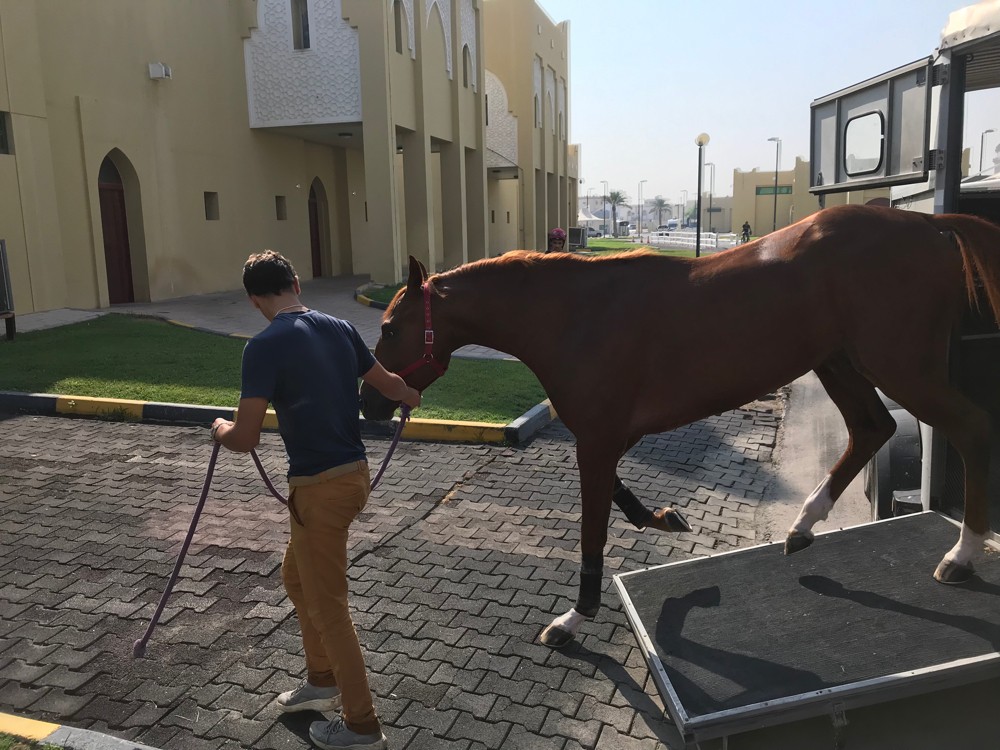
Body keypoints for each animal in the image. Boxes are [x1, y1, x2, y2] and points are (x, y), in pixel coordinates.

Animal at [359, 204, 1000, 649]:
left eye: (390, 328)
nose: (370, 402)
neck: (576, 313)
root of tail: (931, 225)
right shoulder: (607, 435)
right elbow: (622, 498)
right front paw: (666, 518)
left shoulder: (598, 439)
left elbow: (594, 531)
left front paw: (573, 617)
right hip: (839, 361)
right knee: (872, 429)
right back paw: (802, 526)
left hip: (900, 366)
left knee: (971, 428)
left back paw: (963, 554)